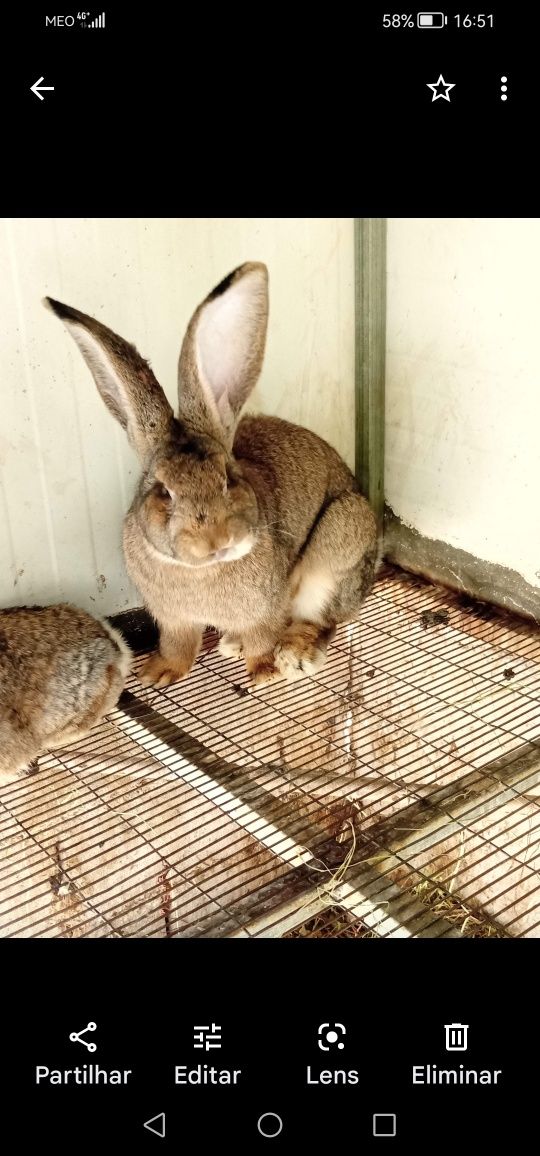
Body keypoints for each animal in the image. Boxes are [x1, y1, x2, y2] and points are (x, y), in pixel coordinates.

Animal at [45, 264, 376, 684]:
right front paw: (158, 674)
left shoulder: (266, 607)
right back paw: (232, 644)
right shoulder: (172, 619)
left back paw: (293, 655)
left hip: (341, 541)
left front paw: (265, 672)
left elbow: (263, 637)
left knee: (322, 618)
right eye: (163, 490)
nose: (215, 540)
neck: (202, 570)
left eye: (228, 478)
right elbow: (179, 645)